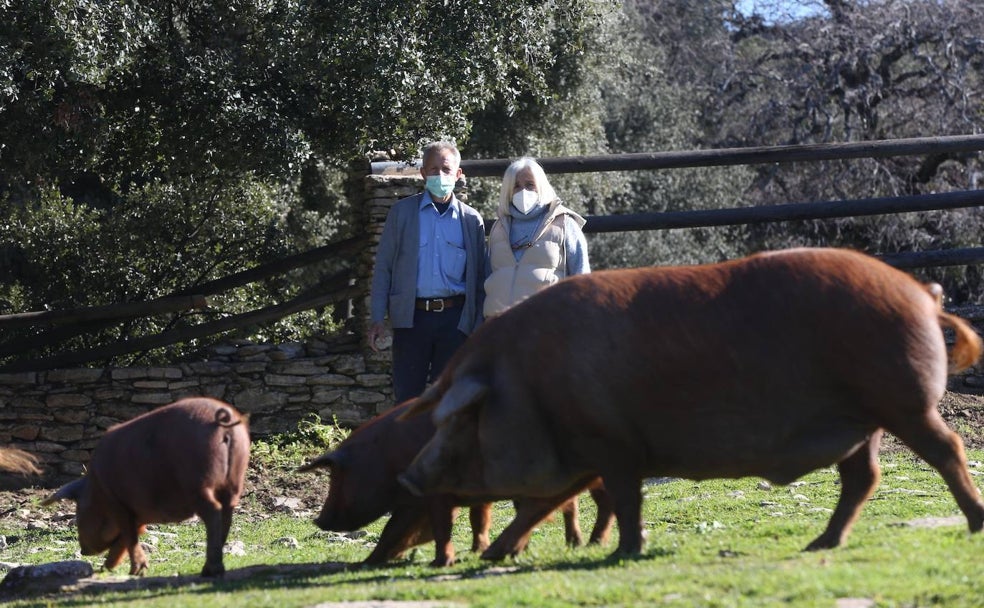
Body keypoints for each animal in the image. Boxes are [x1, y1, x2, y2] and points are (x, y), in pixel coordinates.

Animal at [42, 396, 250, 576]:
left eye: (79, 513)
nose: (83, 551)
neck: (96, 490)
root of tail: (224, 421)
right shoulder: (135, 514)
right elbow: (125, 541)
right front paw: (107, 568)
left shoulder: (118, 505)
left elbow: (129, 539)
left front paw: (134, 572)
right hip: (234, 481)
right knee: (227, 515)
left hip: (198, 481)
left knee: (213, 512)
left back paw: (209, 571)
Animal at [300, 400, 612, 564]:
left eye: (337, 477)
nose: (318, 520)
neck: (385, 459)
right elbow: (477, 520)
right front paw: (475, 551)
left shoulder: (432, 497)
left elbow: (435, 527)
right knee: (583, 506)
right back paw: (583, 544)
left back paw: (586, 544)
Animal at [398, 247, 984, 560]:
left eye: (459, 419)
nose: (408, 476)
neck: (528, 380)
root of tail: (920, 291)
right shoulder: (584, 451)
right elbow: (543, 503)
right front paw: (498, 553)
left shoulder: (610, 444)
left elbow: (622, 499)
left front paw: (624, 552)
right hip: (862, 421)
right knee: (864, 477)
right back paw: (820, 544)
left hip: (901, 401)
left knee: (948, 449)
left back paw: (974, 524)